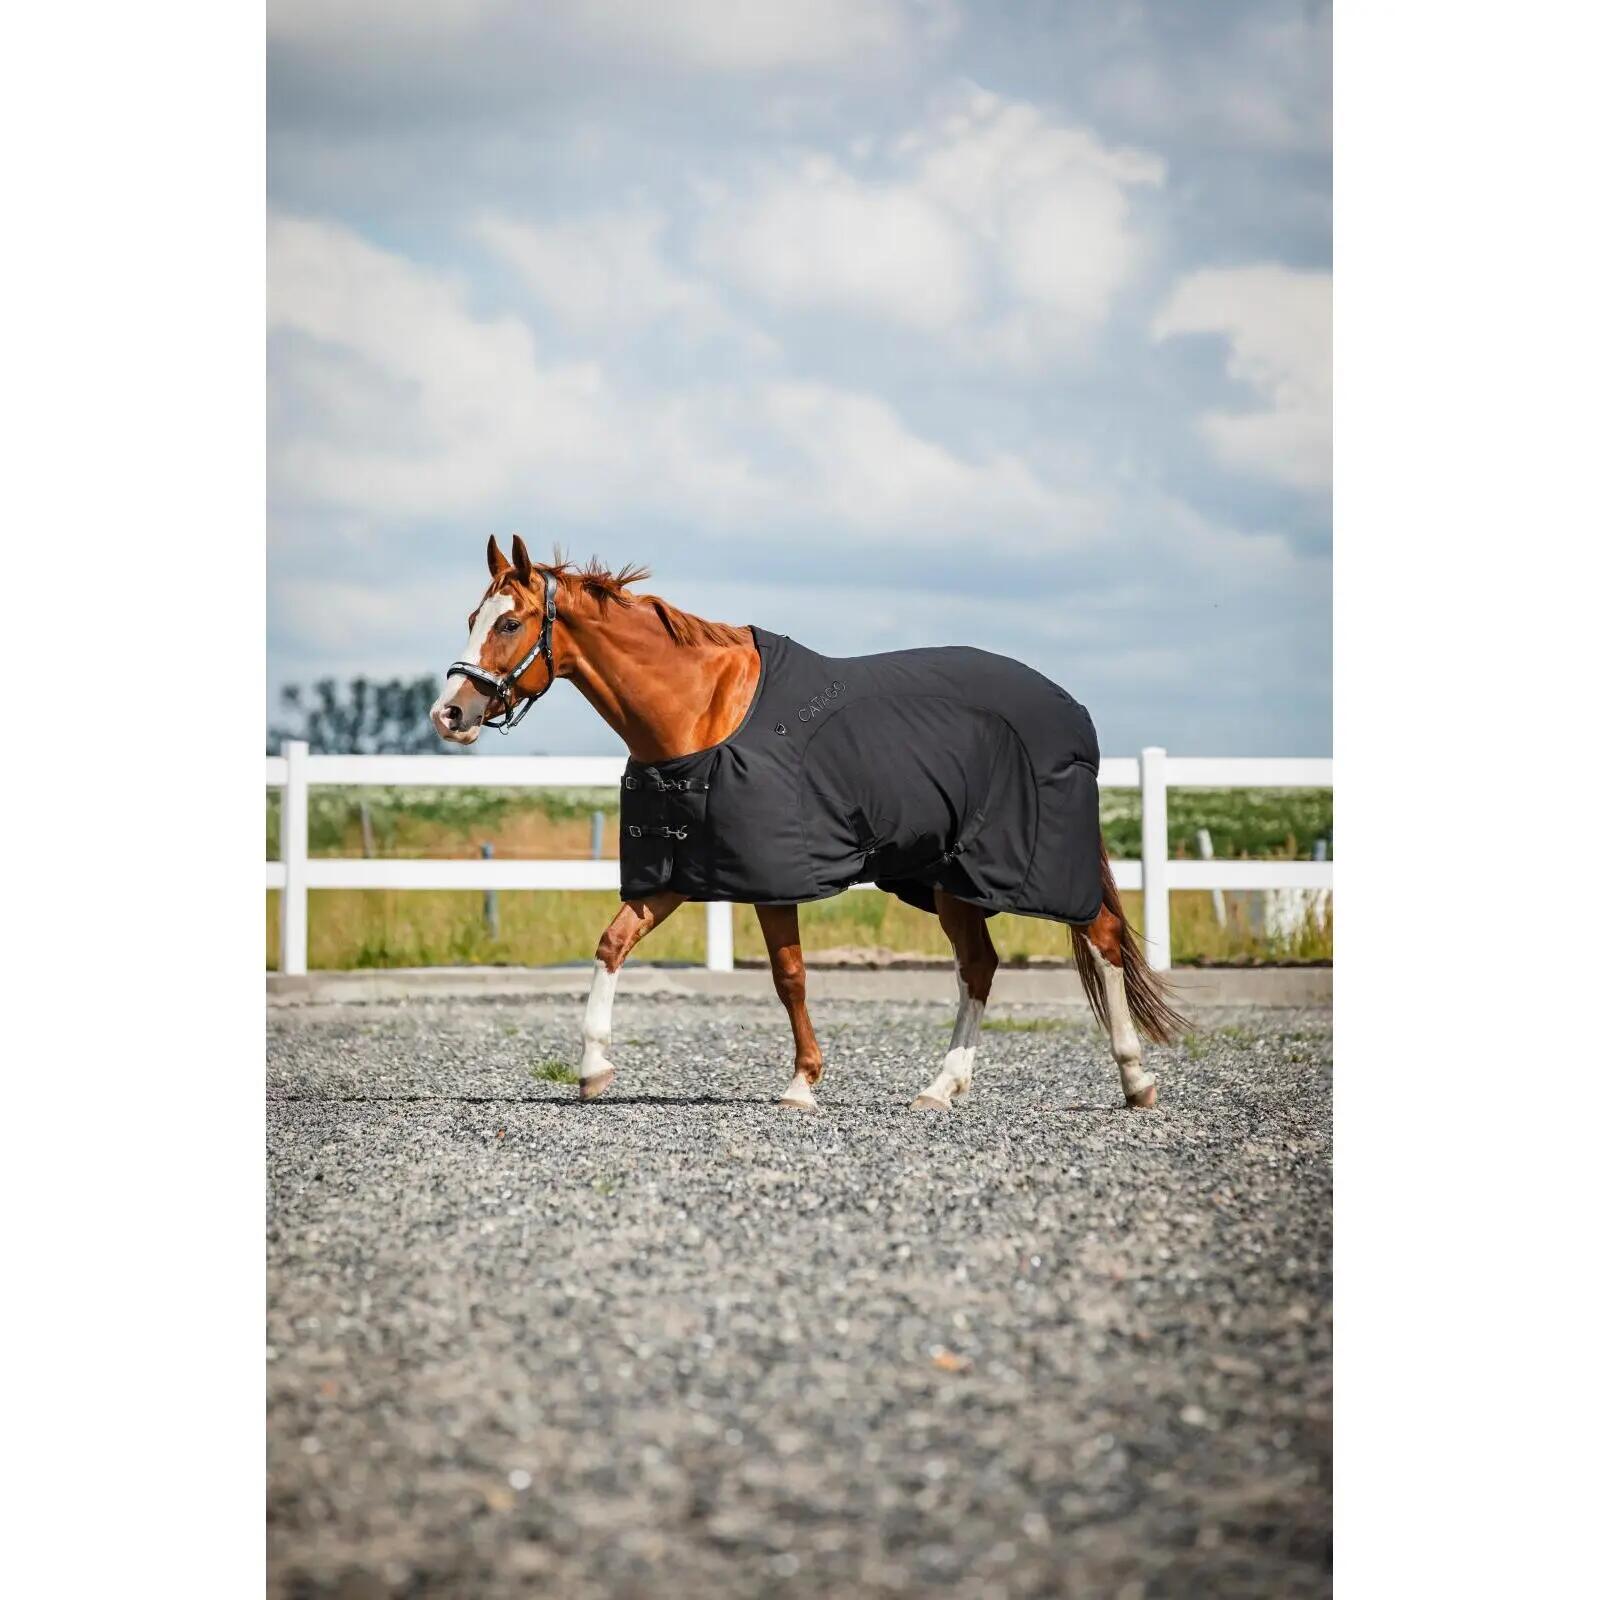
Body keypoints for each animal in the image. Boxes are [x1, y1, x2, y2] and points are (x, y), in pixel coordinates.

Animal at [430, 537, 1185, 1113]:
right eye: (470, 615)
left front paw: (801, 1084)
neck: (702, 712)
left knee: (1104, 939)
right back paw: (942, 1087)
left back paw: (1135, 1079)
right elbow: (613, 943)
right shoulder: (683, 869)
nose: (449, 714)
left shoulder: (772, 876)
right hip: (951, 878)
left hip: (1027, 867)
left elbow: (788, 974)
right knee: (980, 965)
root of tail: (1070, 711)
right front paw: (593, 1069)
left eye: (508, 624)